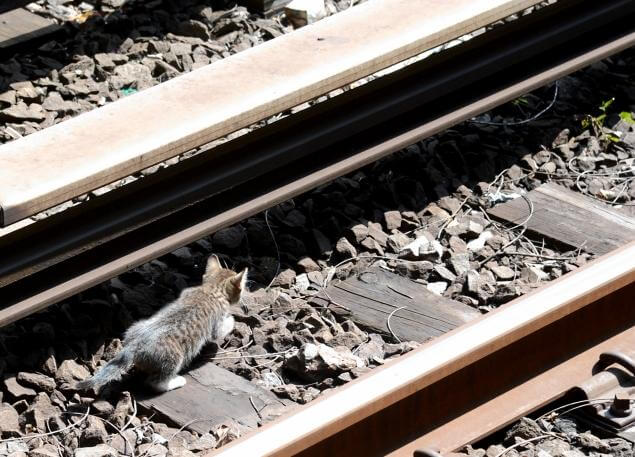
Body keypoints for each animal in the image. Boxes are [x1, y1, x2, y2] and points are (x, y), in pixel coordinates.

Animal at [77, 256, 248, 392]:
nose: (242, 297)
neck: (211, 289)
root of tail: (132, 347)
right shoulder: (217, 324)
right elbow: (223, 328)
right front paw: (232, 319)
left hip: (136, 327)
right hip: (173, 359)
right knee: (154, 383)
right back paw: (176, 382)